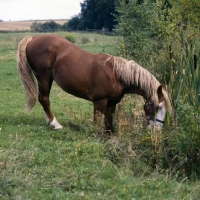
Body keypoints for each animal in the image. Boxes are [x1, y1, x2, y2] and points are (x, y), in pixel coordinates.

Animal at [16, 34, 172, 133]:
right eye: (157, 107)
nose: (157, 130)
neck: (116, 75)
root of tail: (34, 38)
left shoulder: (111, 104)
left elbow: (109, 125)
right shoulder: (99, 102)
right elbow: (98, 123)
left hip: (48, 79)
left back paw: (49, 121)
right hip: (43, 77)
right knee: (44, 99)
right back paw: (55, 123)